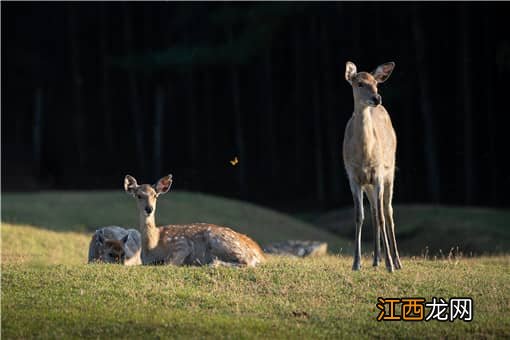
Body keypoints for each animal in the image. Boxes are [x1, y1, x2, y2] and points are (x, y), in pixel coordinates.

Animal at [124, 174, 266, 266]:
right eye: (139, 195)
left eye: (155, 195)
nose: (149, 209)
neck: (152, 245)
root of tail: (260, 255)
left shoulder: (181, 243)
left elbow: (169, 263)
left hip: (219, 240)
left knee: (247, 262)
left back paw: (212, 263)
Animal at [342, 61, 402, 272]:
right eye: (359, 83)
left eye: (376, 83)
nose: (377, 98)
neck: (364, 156)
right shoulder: (353, 177)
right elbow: (359, 216)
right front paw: (356, 263)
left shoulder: (378, 175)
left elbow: (383, 217)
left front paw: (390, 264)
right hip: (369, 184)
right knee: (375, 212)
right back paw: (376, 259)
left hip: (390, 172)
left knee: (387, 212)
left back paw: (396, 261)